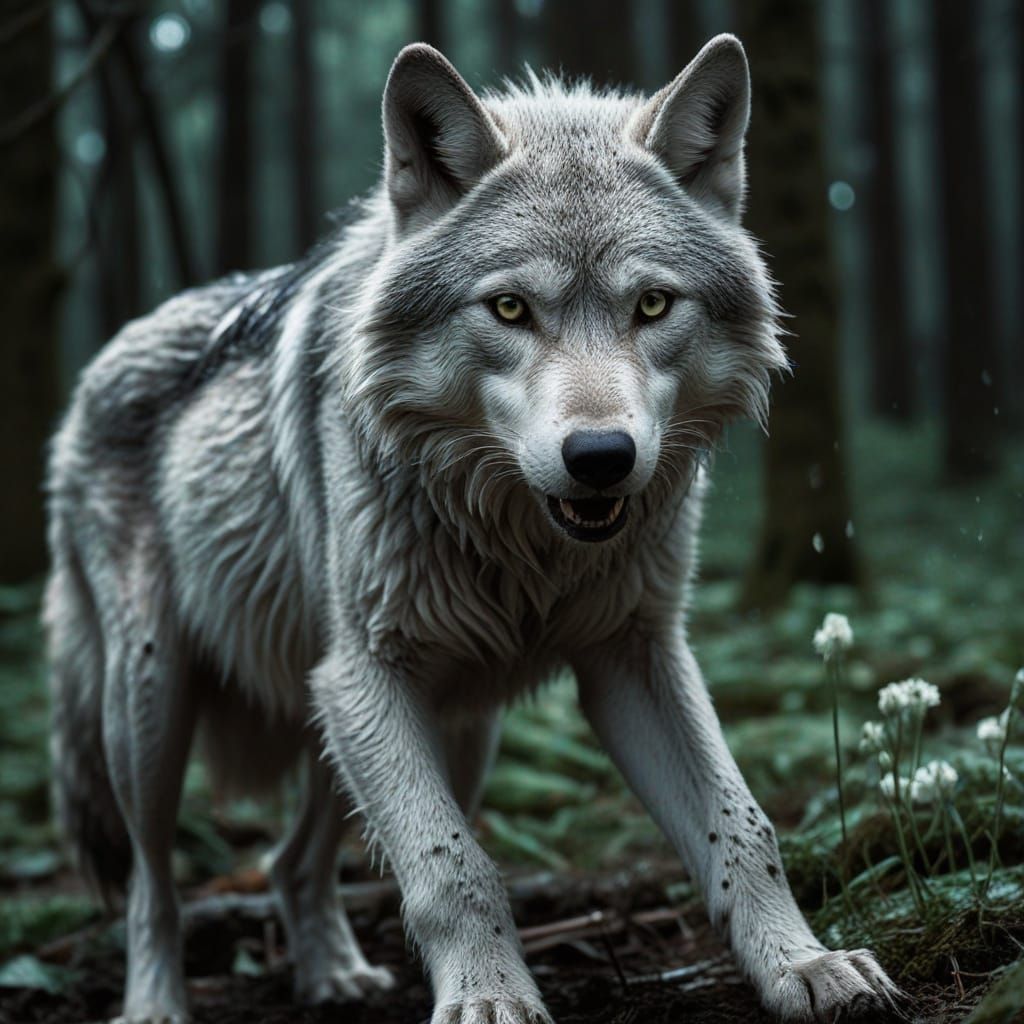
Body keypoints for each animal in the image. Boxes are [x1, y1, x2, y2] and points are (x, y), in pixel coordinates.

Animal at [45, 35, 897, 1024]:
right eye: (510, 309)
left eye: (652, 305)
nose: (600, 457)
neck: (523, 544)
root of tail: (98, 360)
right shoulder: (366, 675)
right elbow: (452, 867)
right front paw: (491, 999)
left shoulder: (635, 655)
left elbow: (745, 825)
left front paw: (804, 965)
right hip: (155, 707)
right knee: (152, 885)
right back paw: (157, 1002)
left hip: (440, 725)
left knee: (292, 862)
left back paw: (334, 976)